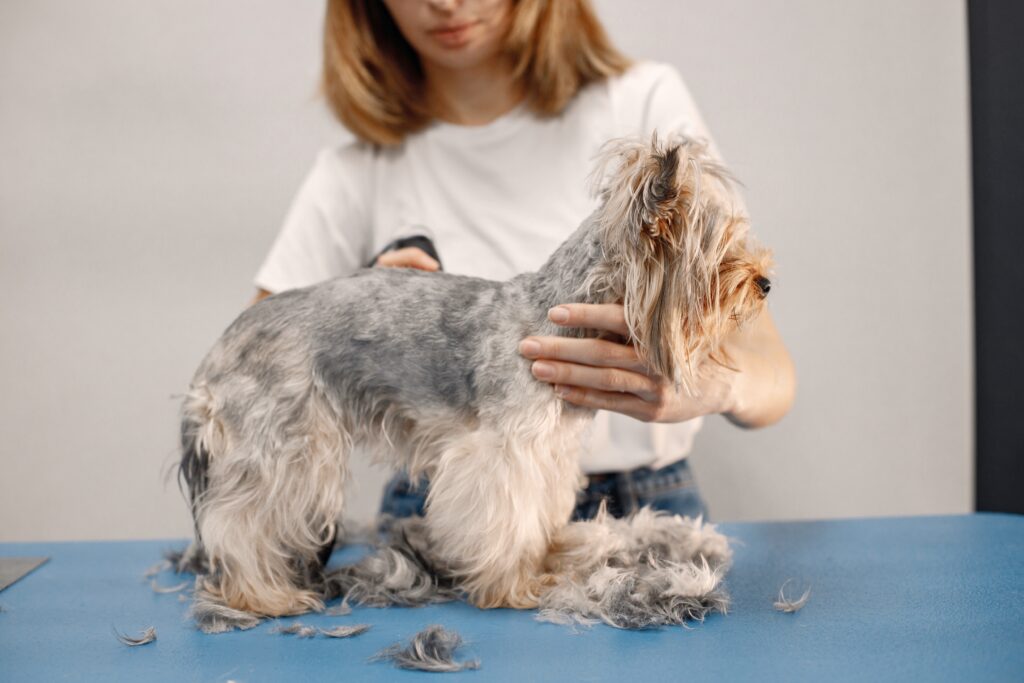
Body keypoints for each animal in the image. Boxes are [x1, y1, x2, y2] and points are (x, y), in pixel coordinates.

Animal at [176, 133, 770, 630]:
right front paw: (514, 585)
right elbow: (508, 518)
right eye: (722, 255)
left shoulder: (550, 451)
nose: (766, 281)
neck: (551, 310)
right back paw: (263, 596)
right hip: (284, 445)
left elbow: (540, 514)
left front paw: (547, 559)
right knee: (238, 522)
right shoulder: (503, 453)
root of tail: (216, 355)